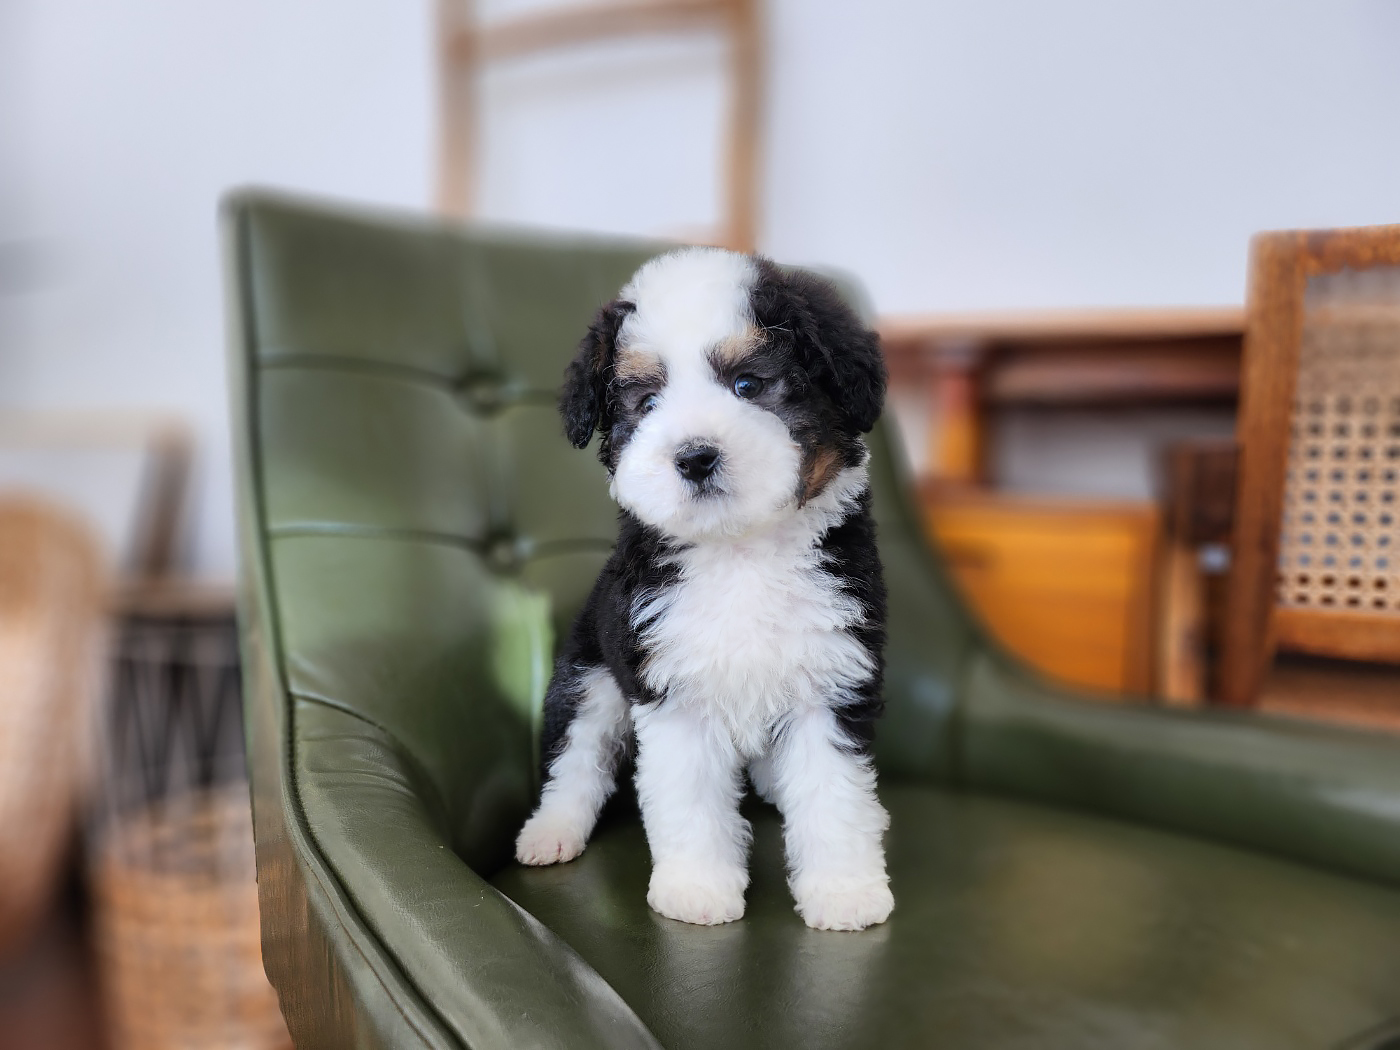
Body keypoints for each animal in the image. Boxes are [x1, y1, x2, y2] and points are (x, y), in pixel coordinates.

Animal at [514, 246, 893, 932]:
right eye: (646, 401)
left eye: (749, 385)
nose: (694, 457)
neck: (739, 553)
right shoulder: (671, 684)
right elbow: (688, 799)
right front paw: (697, 889)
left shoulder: (831, 677)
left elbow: (835, 795)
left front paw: (845, 892)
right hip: (591, 675)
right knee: (577, 760)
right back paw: (551, 833)